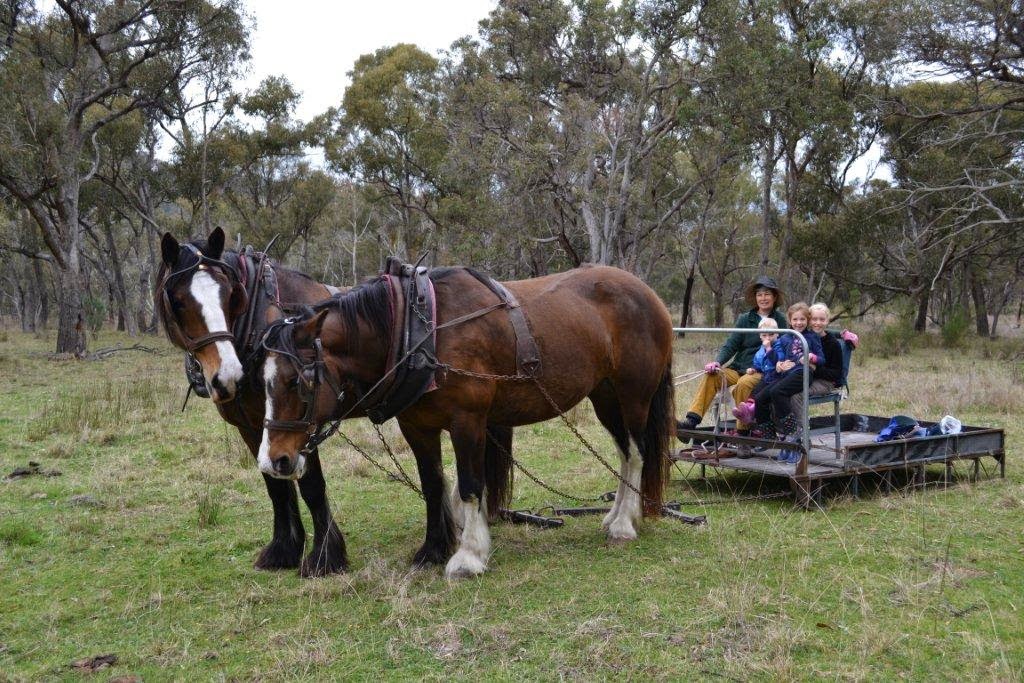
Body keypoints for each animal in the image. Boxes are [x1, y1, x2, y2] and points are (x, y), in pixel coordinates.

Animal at [155, 229, 516, 577]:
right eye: (178, 301)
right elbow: (275, 486)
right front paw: (283, 550)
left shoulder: (300, 423)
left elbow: (311, 486)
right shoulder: (255, 427)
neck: (257, 319)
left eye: (229, 292)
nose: (227, 376)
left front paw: (324, 556)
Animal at [258, 264, 671, 581]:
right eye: (264, 380)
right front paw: (432, 549)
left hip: (634, 397)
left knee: (637, 453)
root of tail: (649, 294)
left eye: (296, 381)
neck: (420, 333)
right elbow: (433, 486)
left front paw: (469, 556)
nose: (273, 461)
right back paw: (615, 515)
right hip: (604, 397)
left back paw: (624, 524)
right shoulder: (417, 427)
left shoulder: (467, 421)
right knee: (623, 453)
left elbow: (471, 486)